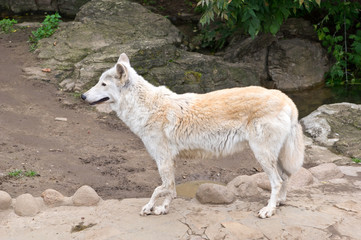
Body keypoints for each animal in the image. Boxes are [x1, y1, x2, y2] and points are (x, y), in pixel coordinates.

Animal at [81, 53, 304, 218]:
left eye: (103, 84)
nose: (83, 96)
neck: (147, 107)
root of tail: (287, 99)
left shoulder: (163, 159)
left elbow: (160, 188)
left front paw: (150, 207)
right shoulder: (170, 161)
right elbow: (170, 189)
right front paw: (163, 208)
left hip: (263, 155)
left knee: (277, 181)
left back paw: (269, 210)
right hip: (275, 156)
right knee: (286, 177)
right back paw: (279, 202)